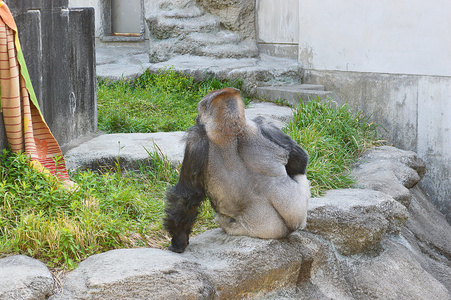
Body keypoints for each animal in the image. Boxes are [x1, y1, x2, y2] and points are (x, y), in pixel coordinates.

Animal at [165, 87, 310, 253]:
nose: (196, 117)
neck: (233, 127)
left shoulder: (196, 140)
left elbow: (186, 196)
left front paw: (178, 241)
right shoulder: (266, 125)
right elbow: (300, 160)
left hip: (240, 228)